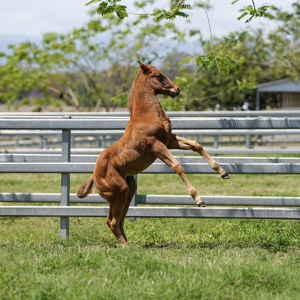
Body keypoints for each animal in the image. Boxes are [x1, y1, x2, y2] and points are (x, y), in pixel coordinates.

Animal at [78, 61, 230, 244]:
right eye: (158, 75)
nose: (177, 89)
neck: (146, 115)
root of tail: (94, 176)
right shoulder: (155, 146)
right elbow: (178, 166)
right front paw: (199, 200)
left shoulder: (169, 140)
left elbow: (196, 145)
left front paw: (222, 172)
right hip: (119, 192)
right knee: (113, 221)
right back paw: (125, 246)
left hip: (128, 192)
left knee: (117, 220)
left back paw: (128, 244)